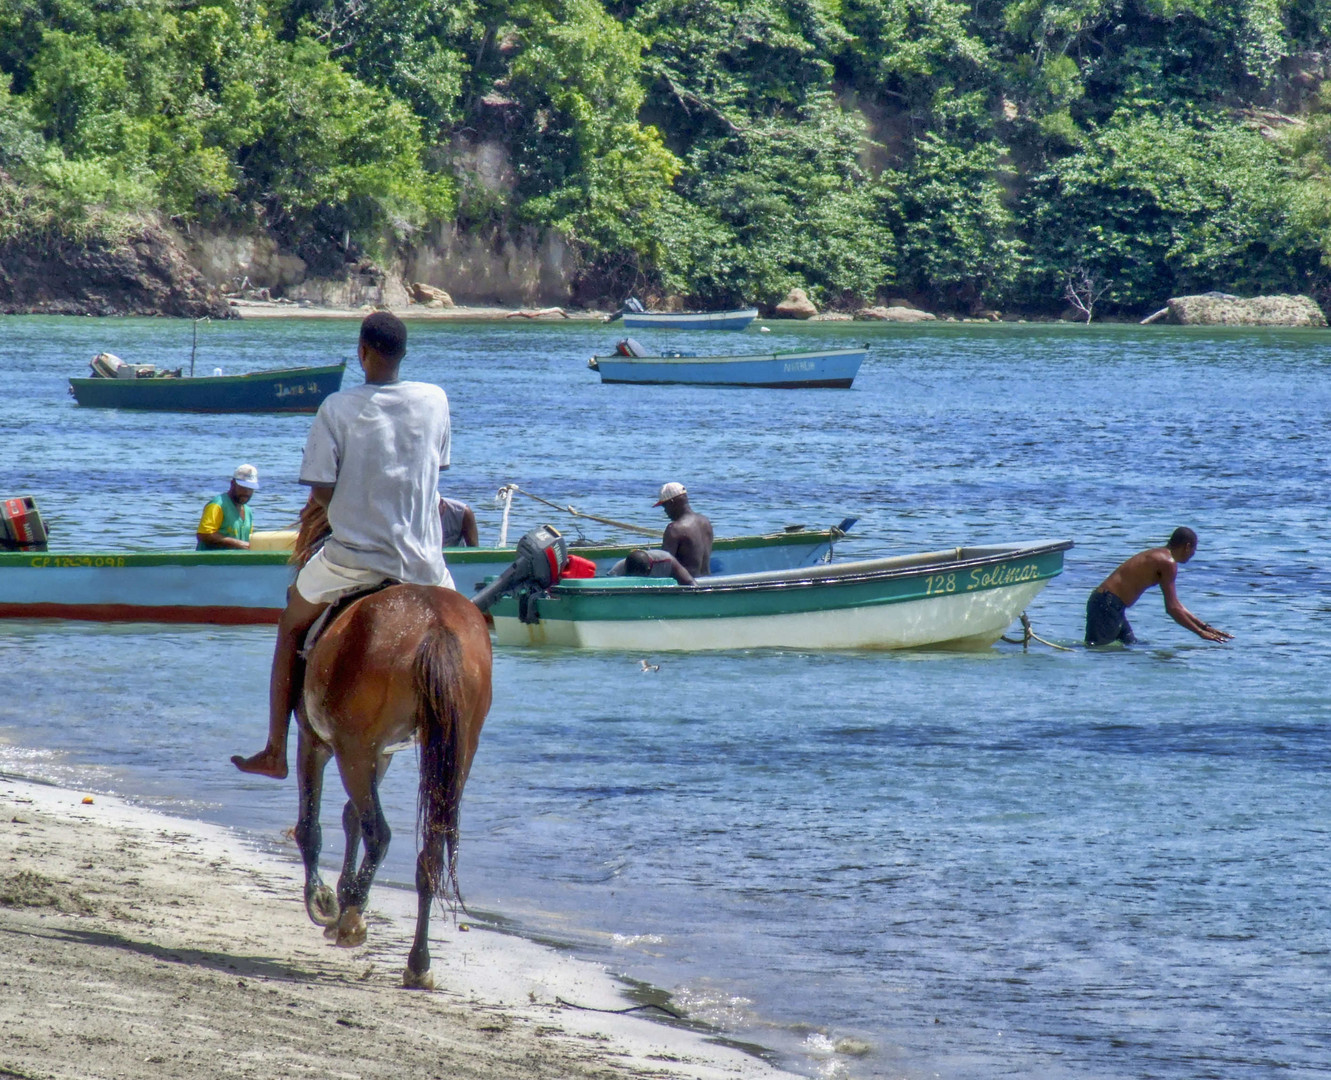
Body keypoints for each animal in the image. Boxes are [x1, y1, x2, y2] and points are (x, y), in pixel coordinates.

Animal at [288, 506, 492, 990]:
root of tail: (434, 624)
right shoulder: (379, 754)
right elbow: (350, 817)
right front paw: (345, 895)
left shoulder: (317, 742)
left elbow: (312, 825)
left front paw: (326, 899)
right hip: (454, 754)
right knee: (429, 852)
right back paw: (418, 961)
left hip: (352, 750)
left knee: (379, 831)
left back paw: (351, 920)